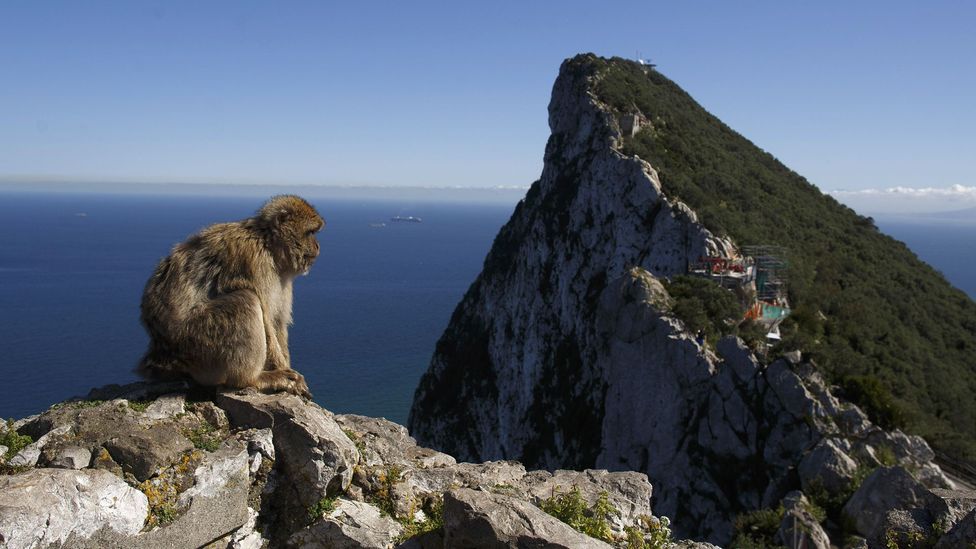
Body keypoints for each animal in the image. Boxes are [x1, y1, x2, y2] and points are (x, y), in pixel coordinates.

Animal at [136, 195, 324, 396]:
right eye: (310, 232)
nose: (317, 246)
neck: (267, 243)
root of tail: (161, 355)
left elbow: (277, 322)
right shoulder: (253, 261)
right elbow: (266, 320)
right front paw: (282, 372)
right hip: (198, 345)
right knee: (245, 299)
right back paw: (251, 379)